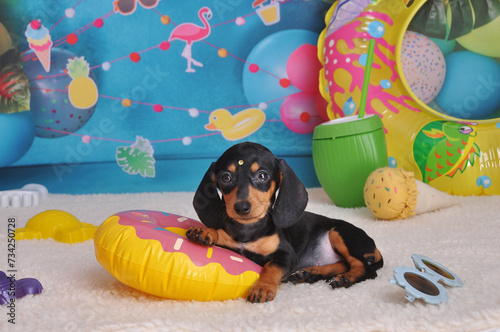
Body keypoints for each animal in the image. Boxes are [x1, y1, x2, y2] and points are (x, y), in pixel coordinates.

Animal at [187, 141, 382, 302]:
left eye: (262, 176)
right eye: (225, 177)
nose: (241, 207)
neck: (248, 230)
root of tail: (373, 245)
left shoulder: (286, 255)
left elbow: (271, 268)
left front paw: (263, 287)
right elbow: (220, 234)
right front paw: (205, 231)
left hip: (339, 232)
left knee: (365, 269)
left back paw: (345, 278)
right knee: (343, 263)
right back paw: (310, 273)